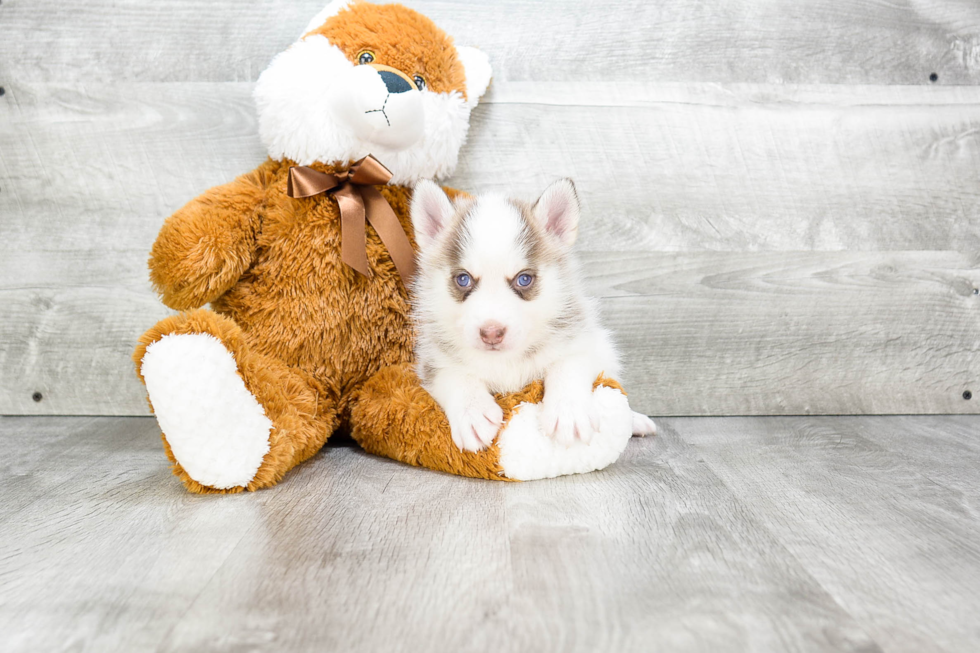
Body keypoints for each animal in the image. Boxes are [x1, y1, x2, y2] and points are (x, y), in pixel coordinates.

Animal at [410, 178, 656, 454]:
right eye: (463, 279)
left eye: (524, 279)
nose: (491, 333)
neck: (505, 361)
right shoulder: (432, 359)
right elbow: (453, 375)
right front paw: (472, 412)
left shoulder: (584, 341)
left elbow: (567, 364)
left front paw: (568, 412)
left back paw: (636, 420)